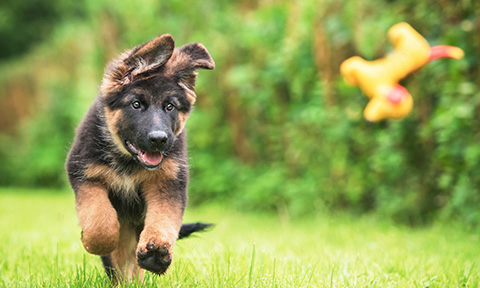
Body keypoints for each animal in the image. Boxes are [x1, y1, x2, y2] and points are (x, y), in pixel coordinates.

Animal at [65, 33, 214, 282]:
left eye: (170, 106)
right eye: (136, 104)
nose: (159, 139)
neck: (129, 161)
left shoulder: (168, 183)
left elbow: (163, 219)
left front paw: (156, 253)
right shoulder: (85, 175)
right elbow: (99, 221)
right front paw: (95, 241)